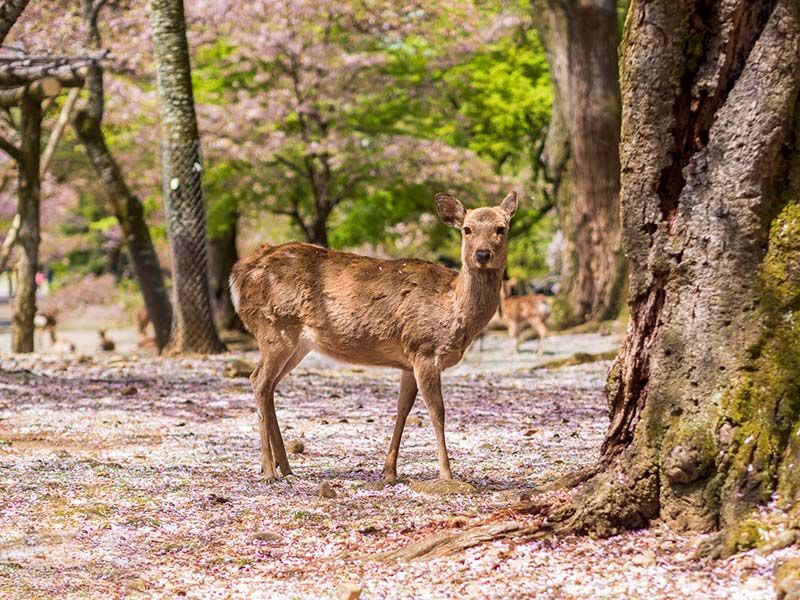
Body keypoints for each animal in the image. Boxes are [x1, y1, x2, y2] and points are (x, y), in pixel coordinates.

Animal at [231, 192, 520, 482]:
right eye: (467, 229)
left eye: (501, 228)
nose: (482, 254)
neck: (452, 306)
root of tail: (237, 275)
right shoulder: (424, 349)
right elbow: (437, 411)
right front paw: (447, 475)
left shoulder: (409, 361)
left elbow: (402, 409)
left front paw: (390, 471)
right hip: (275, 328)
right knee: (259, 380)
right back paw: (269, 470)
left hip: (297, 344)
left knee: (269, 385)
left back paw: (285, 467)